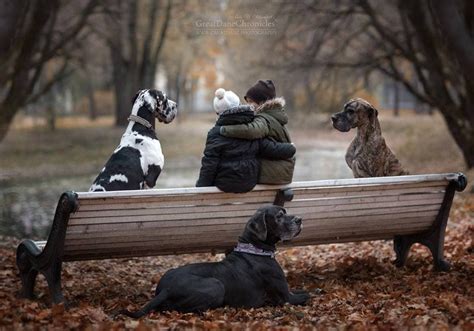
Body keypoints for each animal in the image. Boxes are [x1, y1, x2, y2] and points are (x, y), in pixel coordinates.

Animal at [120, 205, 310, 320]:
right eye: (279, 216)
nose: (300, 219)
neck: (255, 249)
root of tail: (165, 289)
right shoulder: (286, 298)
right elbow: (308, 295)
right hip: (216, 284)